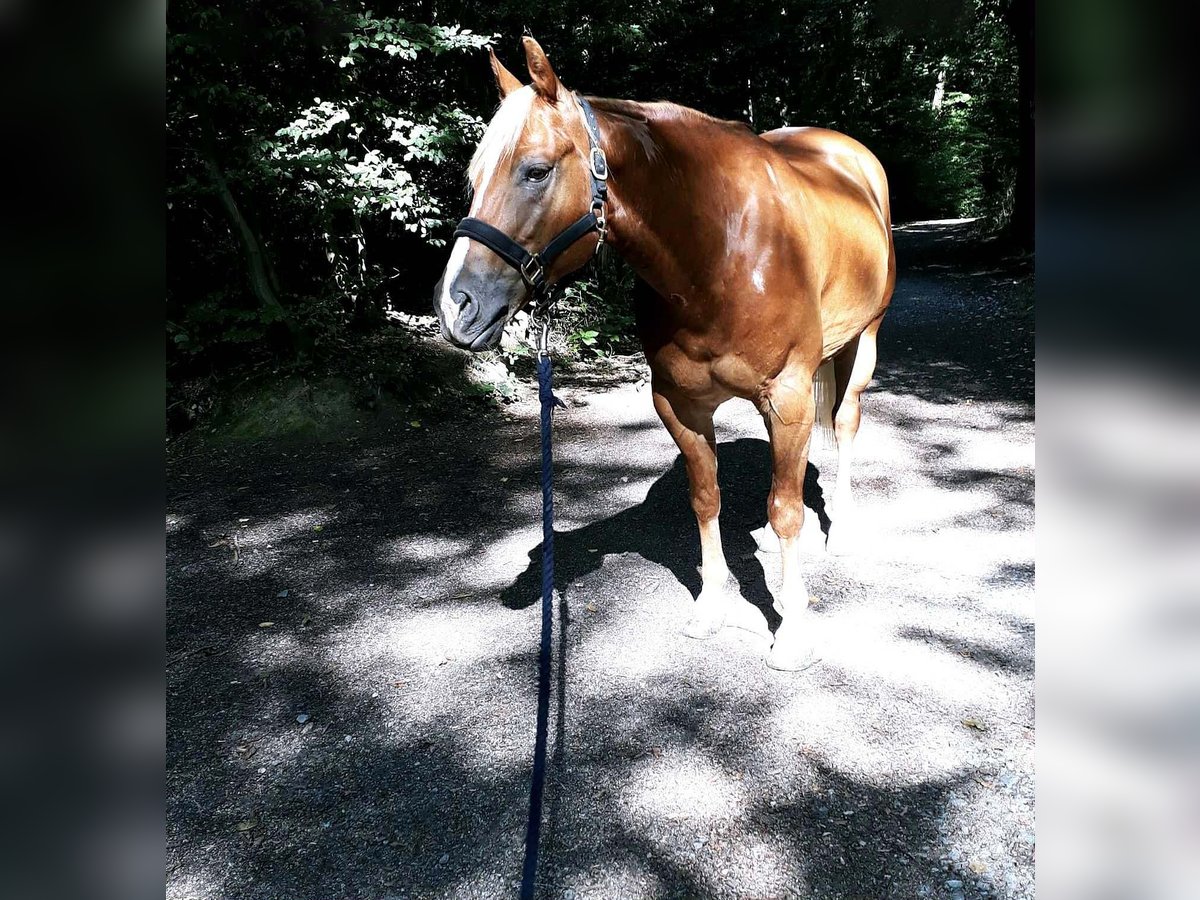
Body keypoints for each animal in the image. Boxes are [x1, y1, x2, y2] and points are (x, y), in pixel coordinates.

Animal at [433, 37, 895, 670]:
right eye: (474, 178)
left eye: (536, 170)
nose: (457, 306)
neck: (719, 250)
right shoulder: (678, 402)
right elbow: (705, 499)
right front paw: (710, 609)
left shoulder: (790, 400)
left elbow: (786, 510)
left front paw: (793, 632)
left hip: (862, 341)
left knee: (846, 421)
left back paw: (843, 528)